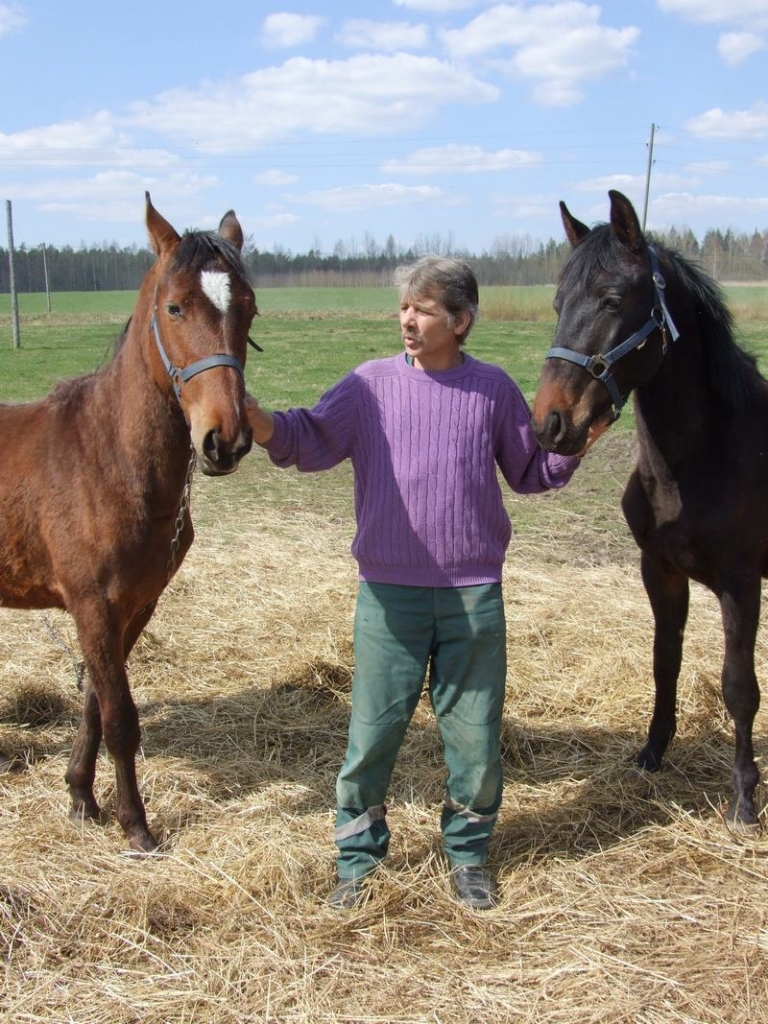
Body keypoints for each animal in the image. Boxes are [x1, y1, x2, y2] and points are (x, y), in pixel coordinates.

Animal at [0, 195, 259, 851]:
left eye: (247, 308)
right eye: (174, 307)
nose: (224, 440)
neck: (105, 457)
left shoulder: (134, 606)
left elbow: (96, 701)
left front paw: (80, 797)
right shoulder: (92, 604)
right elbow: (120, 717)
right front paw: (135, 824)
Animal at [532, 192, 768, 827]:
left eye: (613, 299)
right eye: (558, 303)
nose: (549, 423)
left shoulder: (741, 583)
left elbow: (740, 686)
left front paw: (744, 798)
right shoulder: (658, 571)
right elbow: (666, 661)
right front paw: (651, 753)